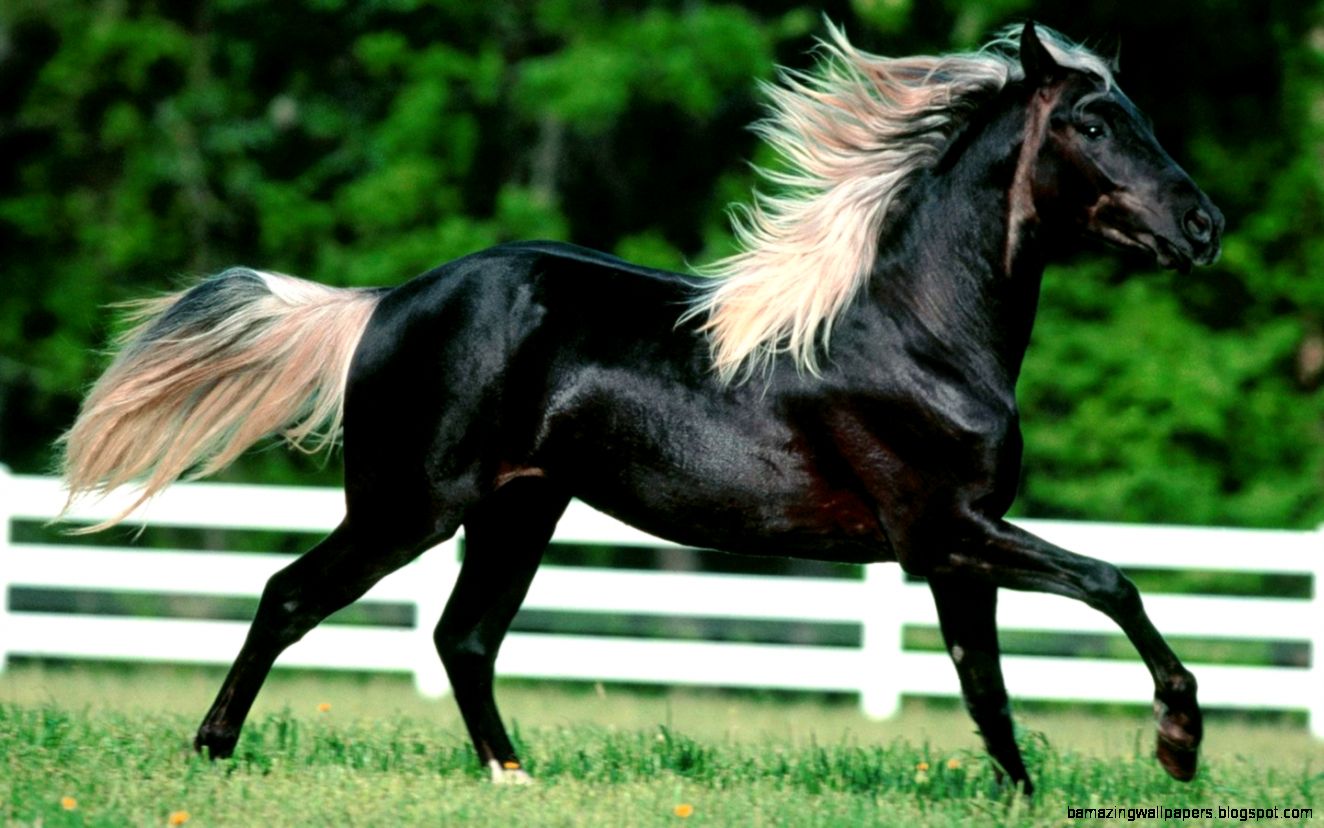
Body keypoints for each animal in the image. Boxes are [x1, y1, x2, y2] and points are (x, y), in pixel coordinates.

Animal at [59, 22, 1218, 789]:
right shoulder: (947, 530)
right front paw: (1177, 745)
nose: (1203, 227)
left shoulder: (951, 548)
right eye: (1093, 121)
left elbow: (985, 686)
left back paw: (514, 777)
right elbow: (1112, 583)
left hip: (516, 510)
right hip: (407, 508)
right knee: (291, 596)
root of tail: (386, 303)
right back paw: (212, 753)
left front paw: (1025, 795)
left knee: (462, 639)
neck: (919, 334)